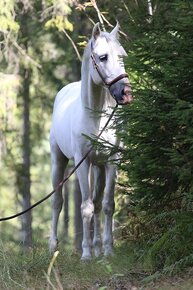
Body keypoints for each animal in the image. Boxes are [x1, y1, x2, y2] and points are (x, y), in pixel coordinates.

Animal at [49, 22, 132, 258]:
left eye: (122, 56)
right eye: (103, 57)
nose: (126, 93)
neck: (95, 116)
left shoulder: (112, 160)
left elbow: (107, 204)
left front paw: (108, 251)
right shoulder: (82, 162)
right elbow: (85, 207)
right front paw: (85, 254)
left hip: (99, 166)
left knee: (97, 202)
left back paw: (97, 247)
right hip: (59, 161)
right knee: (58, 201)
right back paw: (53, 246)